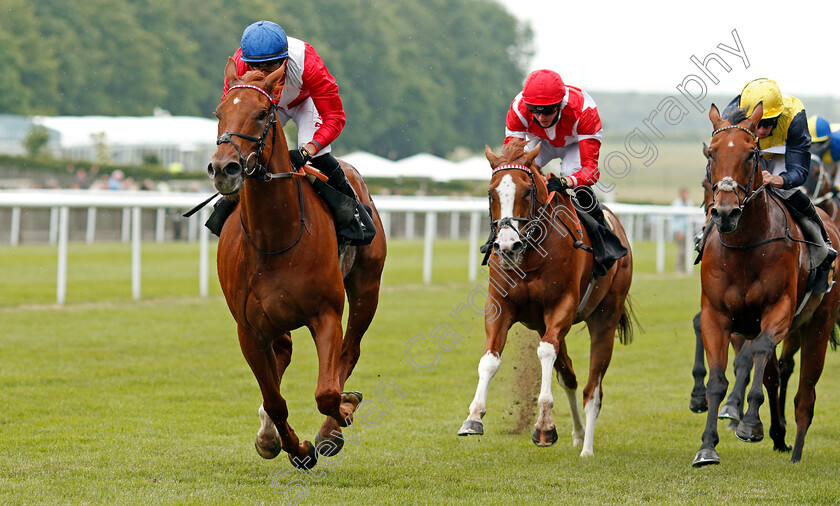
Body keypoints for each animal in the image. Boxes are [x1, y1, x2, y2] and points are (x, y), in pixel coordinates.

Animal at [207, 59, 388, 470]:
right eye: (219, 112)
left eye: (262, 113)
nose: (224, 168)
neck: (274, 238)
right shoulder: (249, 330)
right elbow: (275, 400)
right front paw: (293, 447)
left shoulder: (326, 314)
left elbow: (327, 392)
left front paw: (340, 416)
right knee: (283, 354)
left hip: (367, 286)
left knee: (349, 351)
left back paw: (332, 428)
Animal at [456, 140, 632, 456]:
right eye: (490, 192)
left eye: (527, 191)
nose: (506, 246)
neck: (530, 255)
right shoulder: (500, 307)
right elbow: (489, 360)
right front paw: (473, 417)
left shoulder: (562, 307)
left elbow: (546, 353)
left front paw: (544, 426)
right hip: (544, 325)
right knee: (570, 376)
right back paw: (579, 433)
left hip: (606, 317)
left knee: (593, 390)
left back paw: (587, 449)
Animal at [688, 103, 840, 466]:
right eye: (711, 155)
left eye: (751, 154)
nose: (724, 212)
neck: (745, 245)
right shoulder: (717, 314)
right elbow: (718, 377)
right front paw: (708, 444)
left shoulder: (778, 311)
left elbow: (756, 352)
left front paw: (747, 422)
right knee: (774, 374)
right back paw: (777, 434)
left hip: (818, 325)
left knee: (804, 392)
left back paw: (794, 448)